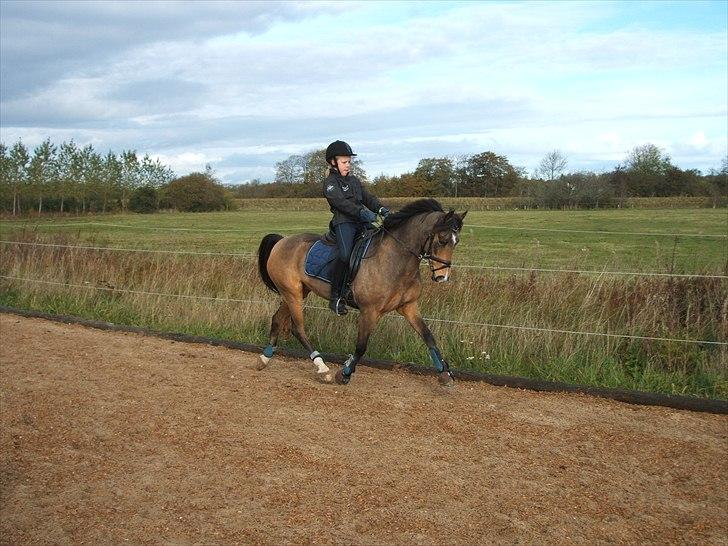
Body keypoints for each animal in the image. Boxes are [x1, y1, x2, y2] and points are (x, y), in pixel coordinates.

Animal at [256, 198, 466, 384]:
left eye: (456, 241)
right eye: (442, 239)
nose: (442, 277)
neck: (396, 259)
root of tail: (282, 241)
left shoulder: (408, 306)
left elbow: (428, 337)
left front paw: (445, 373)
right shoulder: (369, 311)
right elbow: (361, 346)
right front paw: (345, 373)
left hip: (296, 293)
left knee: (277, 318)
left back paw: (265, 358)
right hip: (293, 294)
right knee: (298, 329)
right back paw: (322, 368)